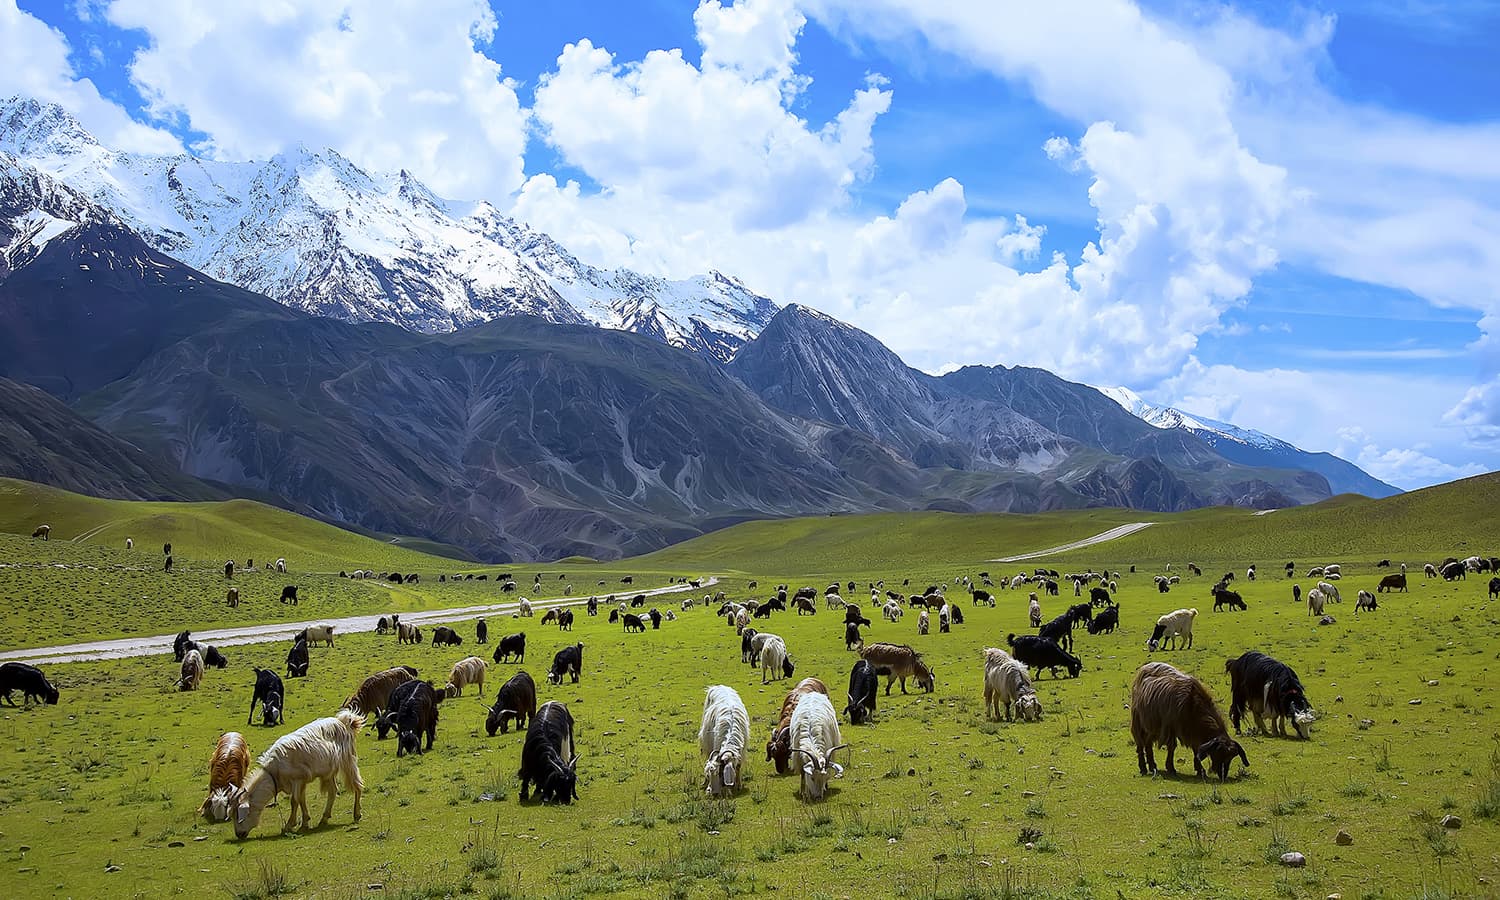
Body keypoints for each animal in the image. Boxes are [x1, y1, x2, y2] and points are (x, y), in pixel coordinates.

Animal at [232, 711, 364, 834]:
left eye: (239, 816)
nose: (239, 834)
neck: (275, 772)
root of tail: (342, 722)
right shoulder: (301, 782)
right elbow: (301, 800)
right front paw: (305, 822)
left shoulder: (298, 779)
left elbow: (294, 801)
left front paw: (289, 825)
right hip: (328, 771)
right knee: (333, 791)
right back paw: (324, 818)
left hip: (348, 759)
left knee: (357, 784)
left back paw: (357, 814)